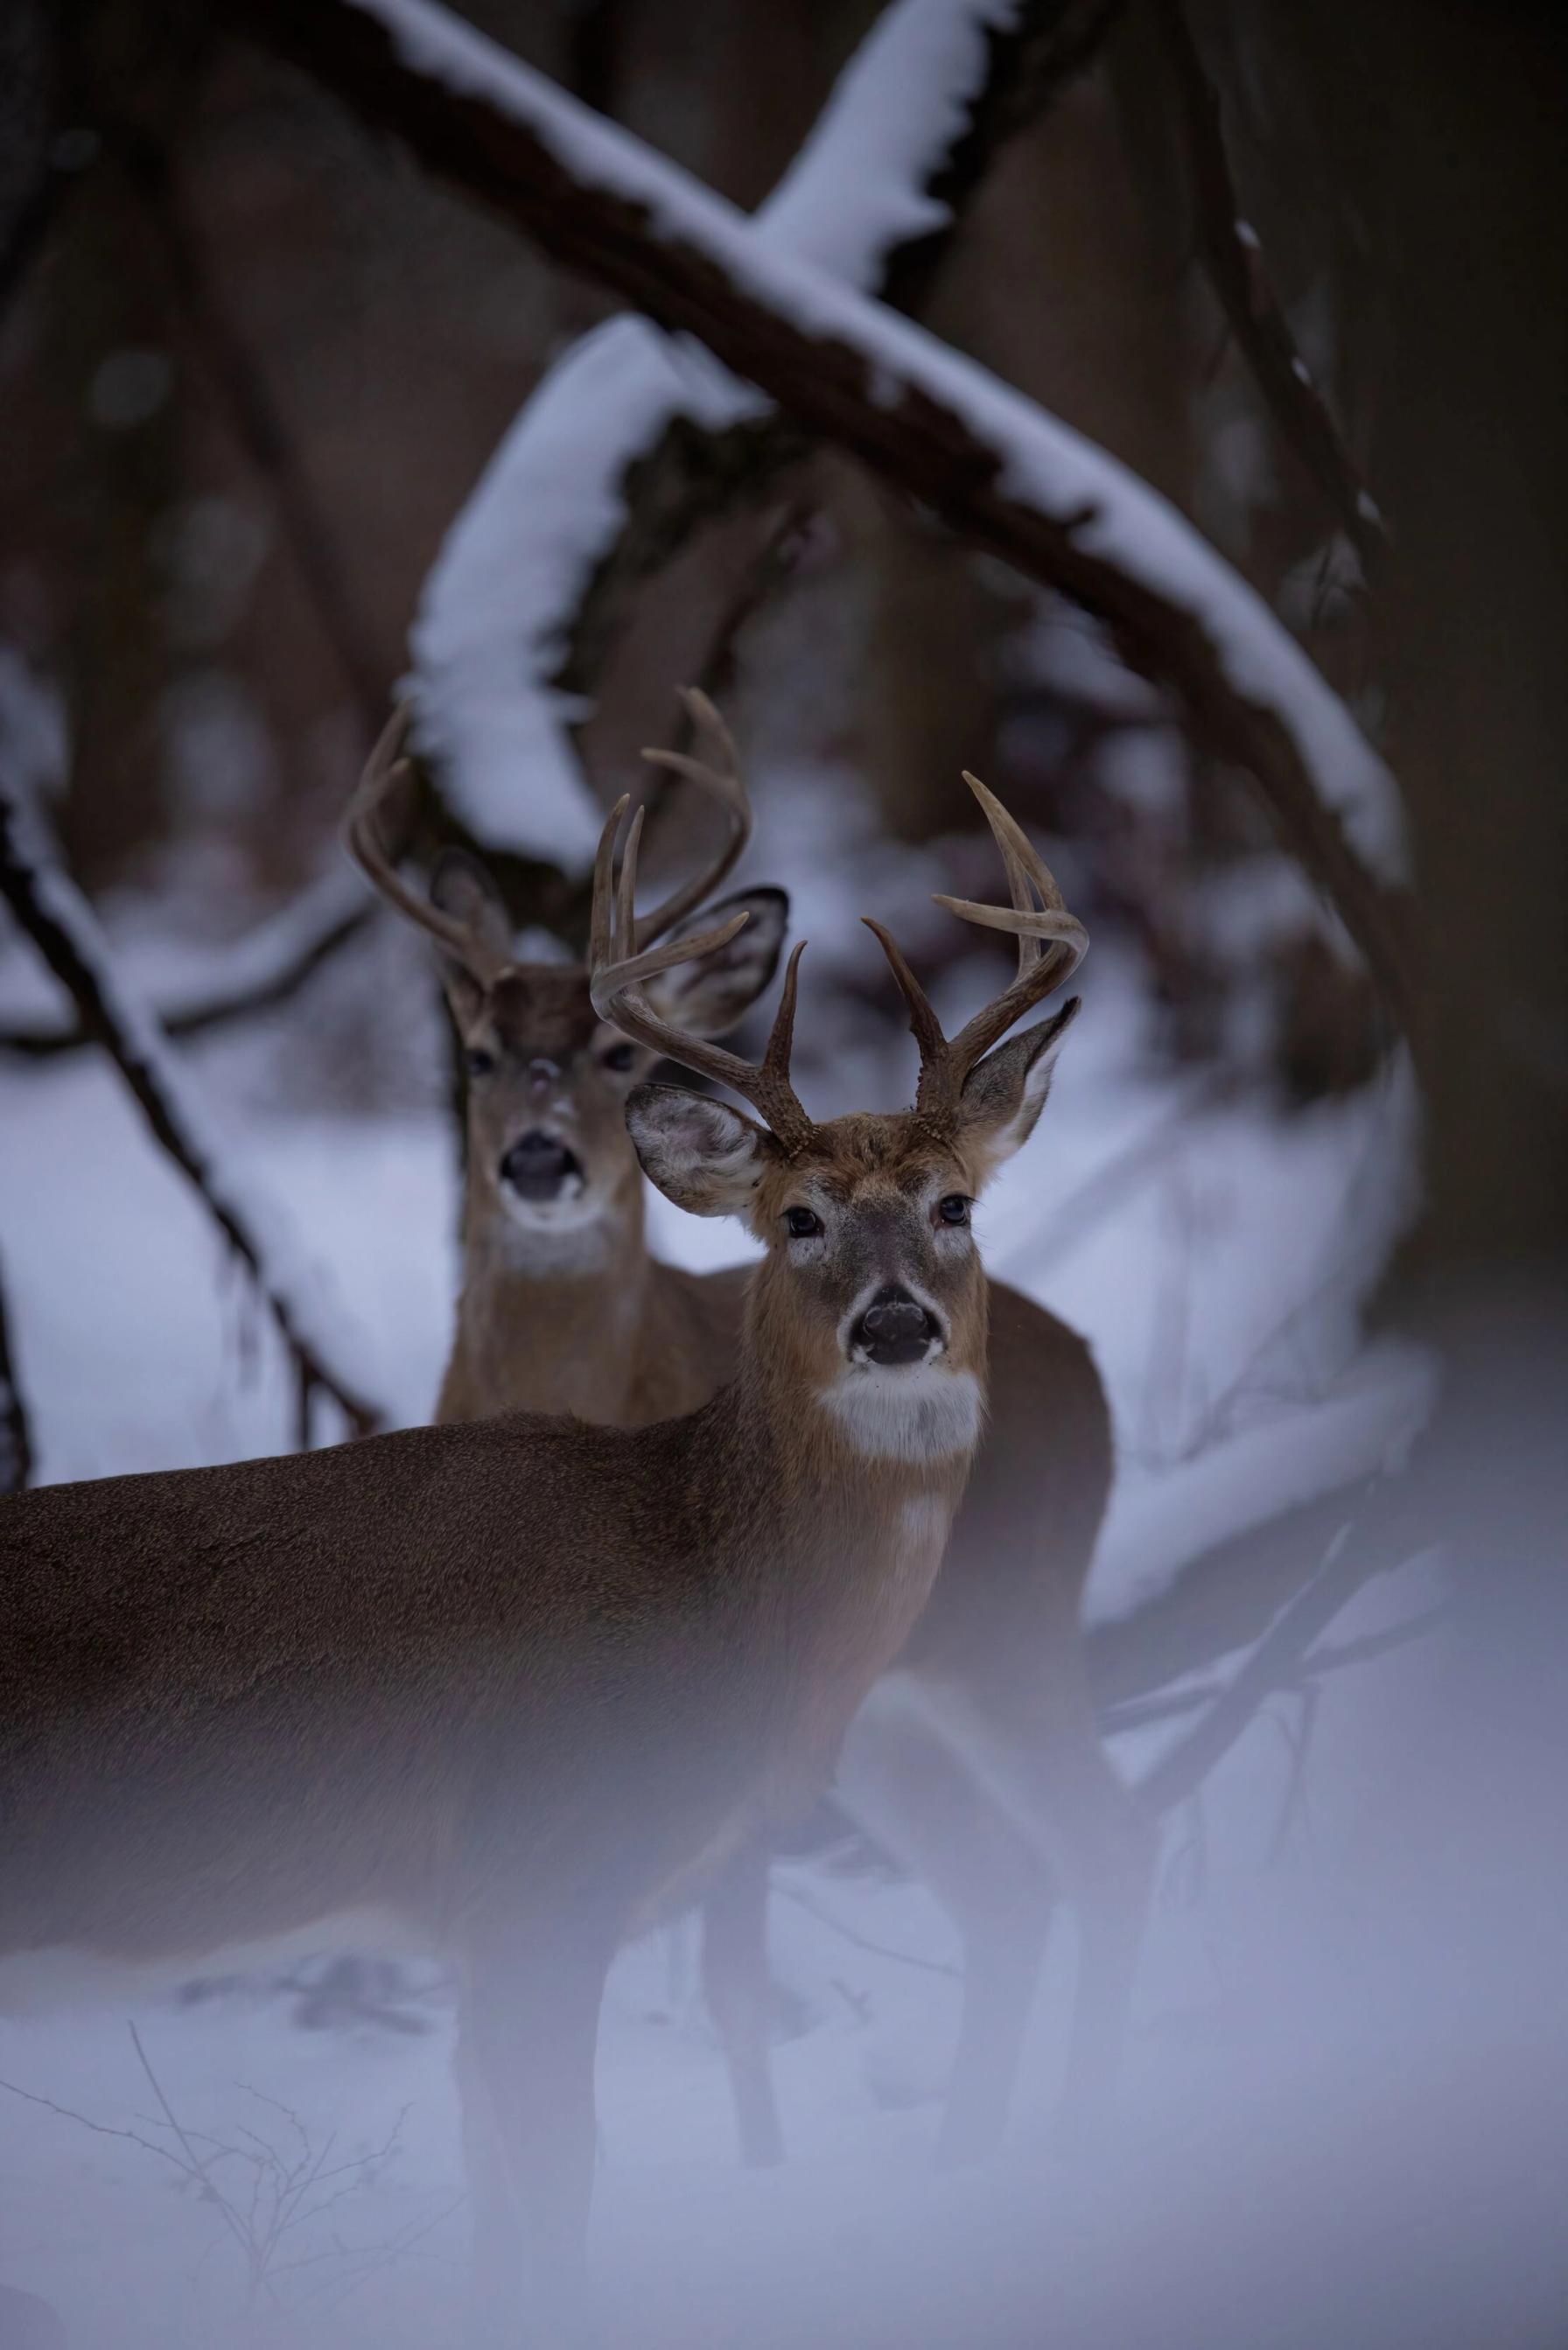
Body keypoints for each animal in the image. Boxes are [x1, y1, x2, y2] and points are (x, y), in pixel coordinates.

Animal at [0, 736, 1094, 2342]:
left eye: (956, 1201)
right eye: (797, 1217)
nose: (898, 1326)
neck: (710, 1585)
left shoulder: (483, 1924)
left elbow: (504, 2217)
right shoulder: (542, 1877)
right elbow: (557, 2211)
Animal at [355, 695, 1153, 2175]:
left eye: (954, 1200)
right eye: (798, 1214)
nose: (895, 1320)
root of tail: (1090, 1369)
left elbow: (725, 1974)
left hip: (1008, 1632)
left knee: (1106, 1842)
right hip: (896, 1713)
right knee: (1010, 1883)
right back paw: (970, 2157)